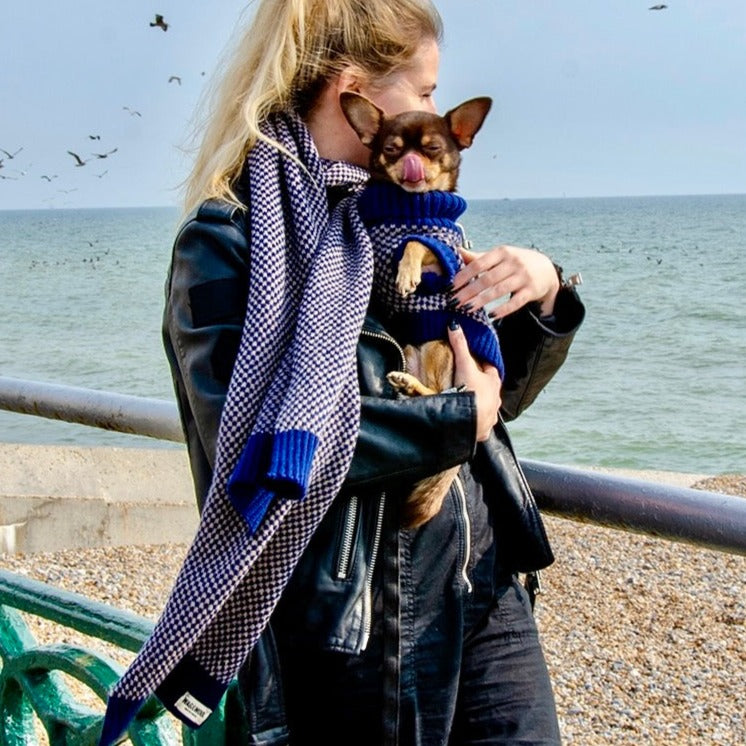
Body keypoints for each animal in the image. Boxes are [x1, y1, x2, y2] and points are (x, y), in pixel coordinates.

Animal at [342, 90, 500, 528]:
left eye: (432, 149)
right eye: (391, 149)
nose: (411, 165)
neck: (407, 206)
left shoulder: (444, 256)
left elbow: (416, 241)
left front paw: (406, 272)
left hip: (444, 345)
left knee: (443, 391)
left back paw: (413, 386)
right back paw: (404, 384)